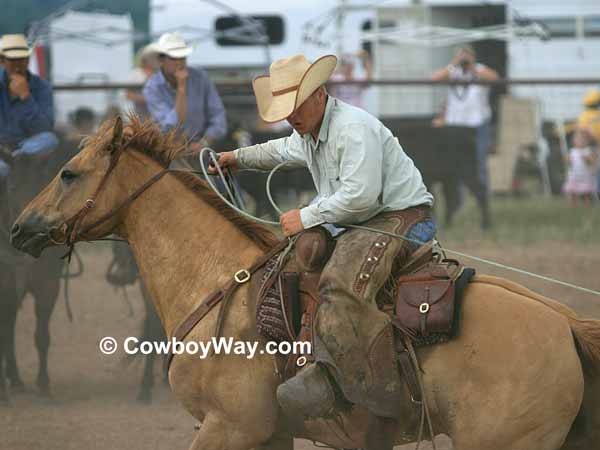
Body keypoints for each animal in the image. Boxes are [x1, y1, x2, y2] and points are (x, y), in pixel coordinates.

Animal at [8, 117, 600, 450]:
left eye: (68, 173)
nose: (17, 228)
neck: (219, 281)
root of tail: (564, 322)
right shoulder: (269, 434)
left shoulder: (228, 428)